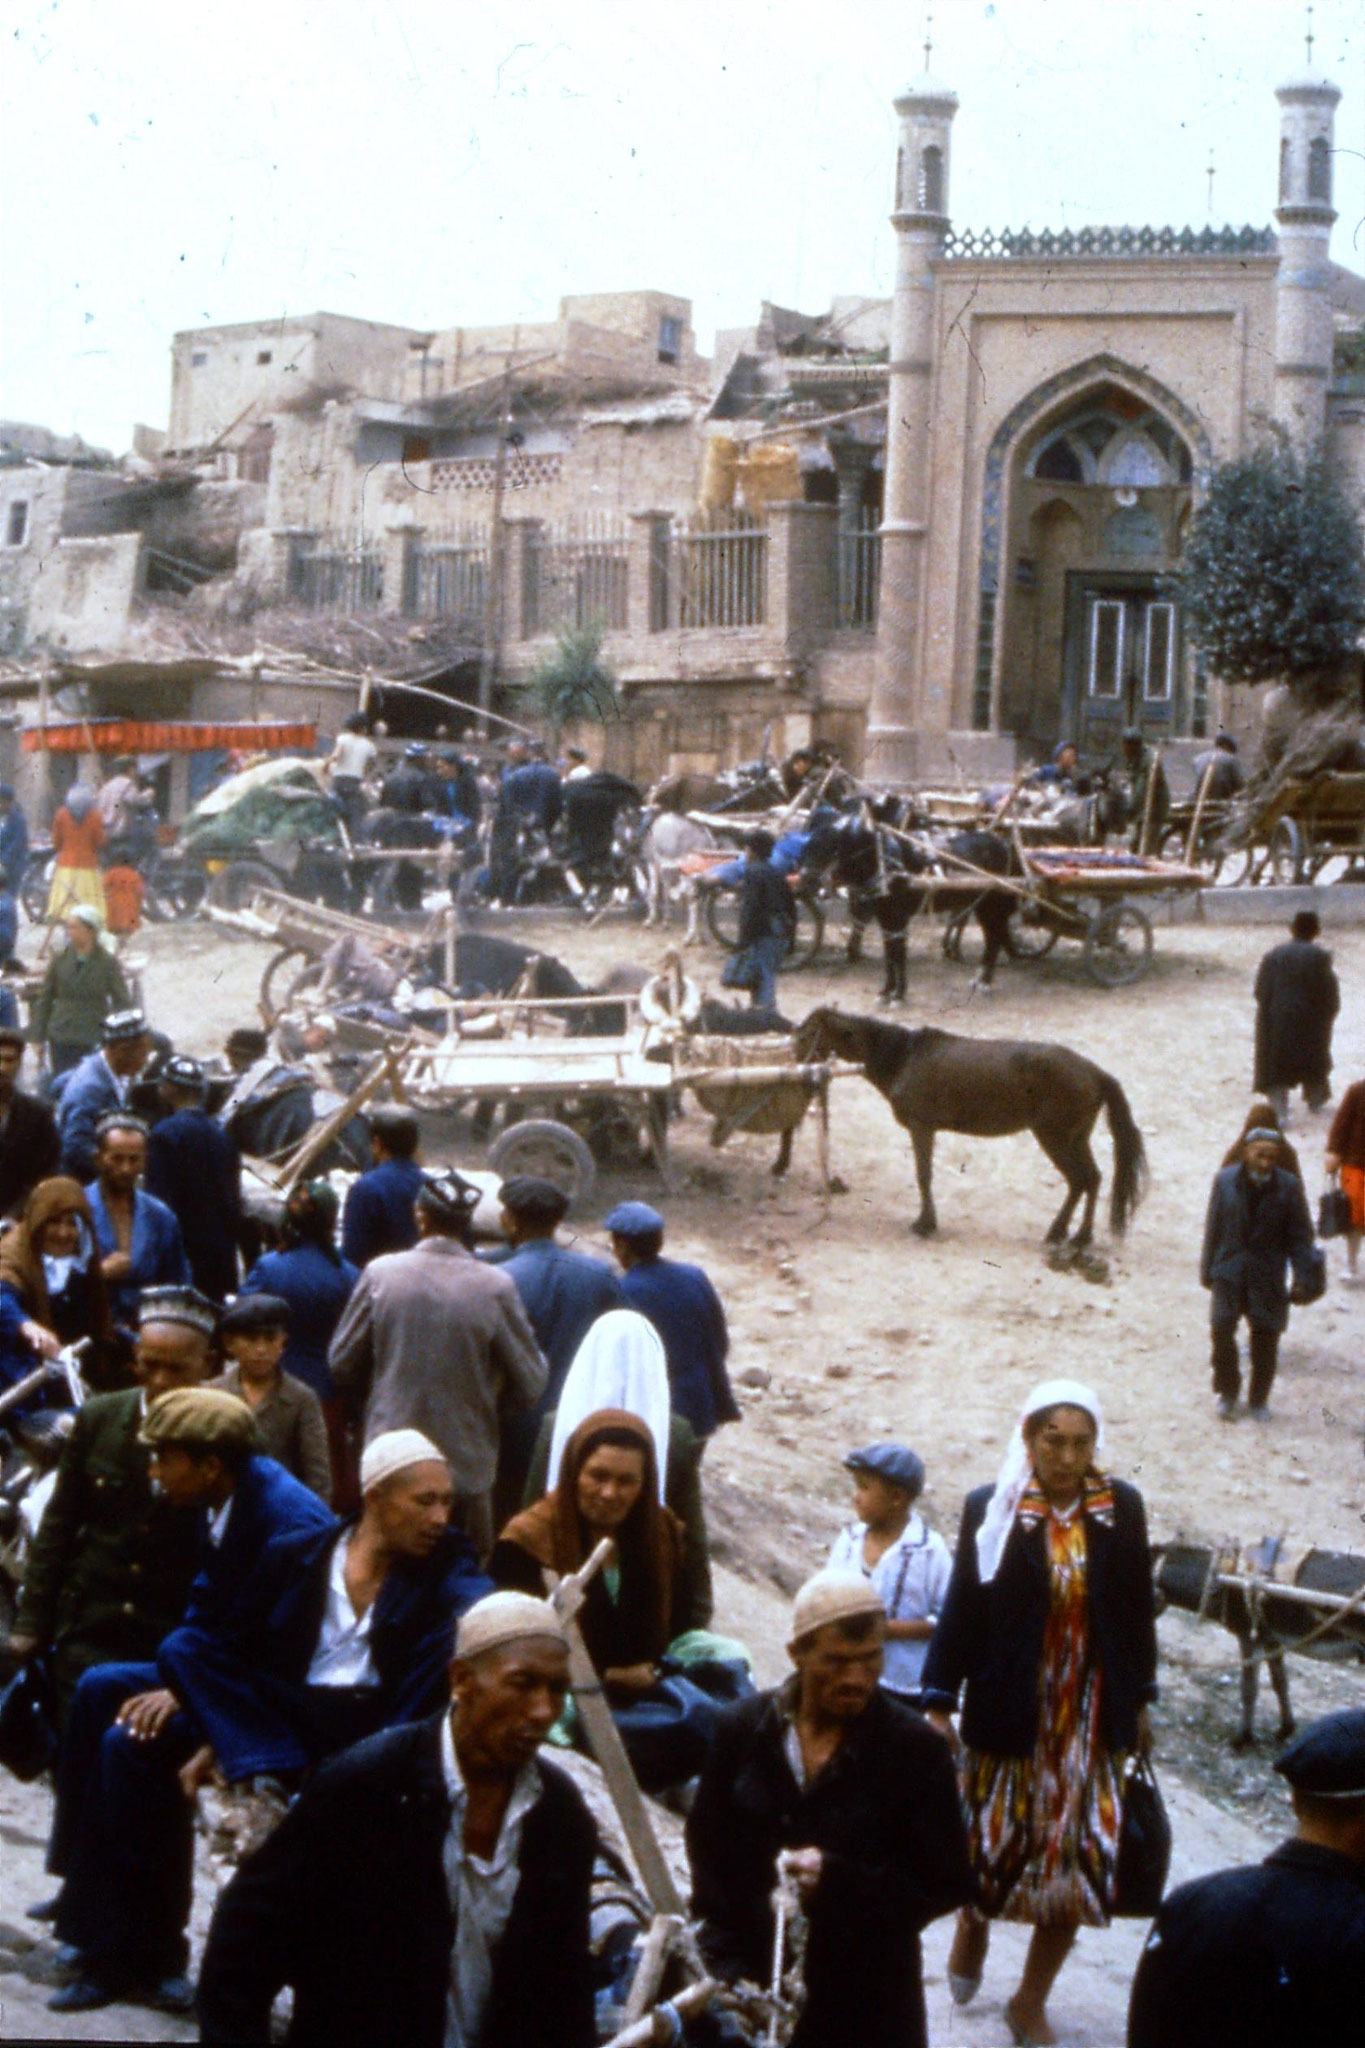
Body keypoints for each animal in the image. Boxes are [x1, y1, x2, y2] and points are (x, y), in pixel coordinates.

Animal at [794, 999, 1146, 1236]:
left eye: (810, 1033)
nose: (798, 1070)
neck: (904, 1056)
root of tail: (1095, 1073)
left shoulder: (922, 1128)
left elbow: (924, 1175)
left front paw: (925, 1224)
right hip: (1076, 1138)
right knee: (1092, 1179)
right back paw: (1070, 1235)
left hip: (1055, 1137)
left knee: (1080, 1180)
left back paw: (1072, 1237)